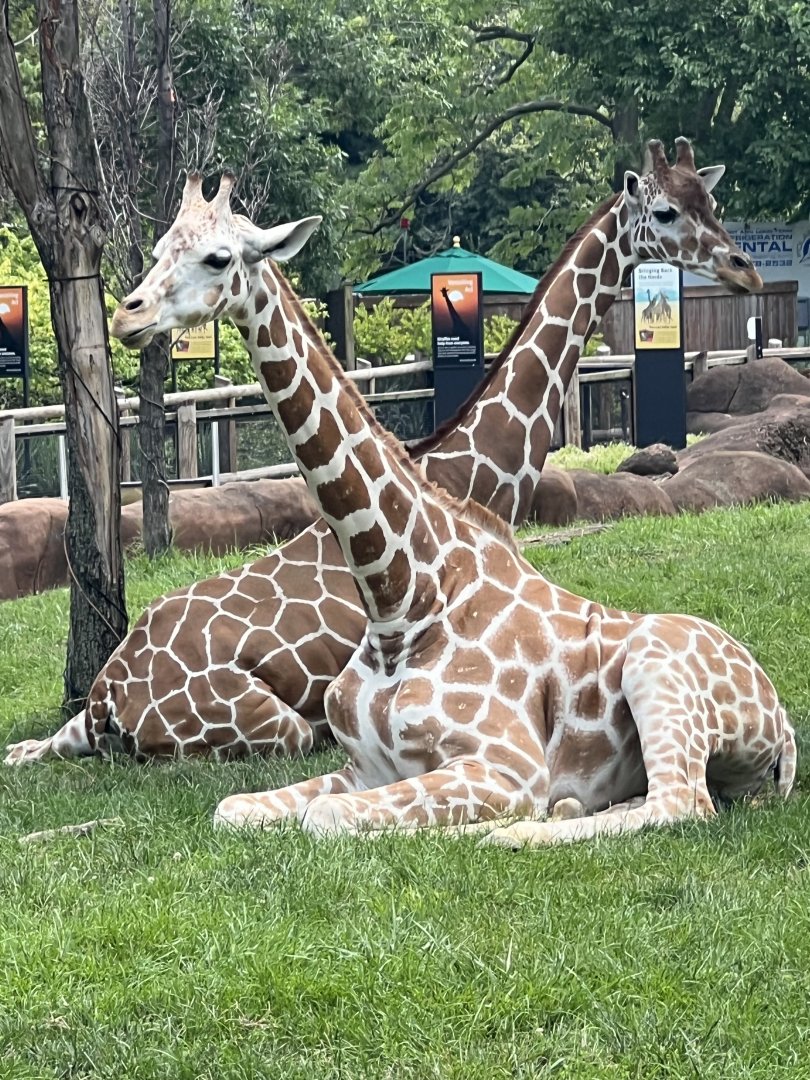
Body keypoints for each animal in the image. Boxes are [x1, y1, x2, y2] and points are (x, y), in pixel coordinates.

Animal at [100, 140, 793, 846]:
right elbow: (235, 808)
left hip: (655, 668)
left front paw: (477, 824)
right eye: (159, 247)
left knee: (680, 801)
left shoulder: (508, 766)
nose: (127, 314)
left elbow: (331, 818)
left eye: (218, 257)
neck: (401, 600)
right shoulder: (362, 767)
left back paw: (522, 828)